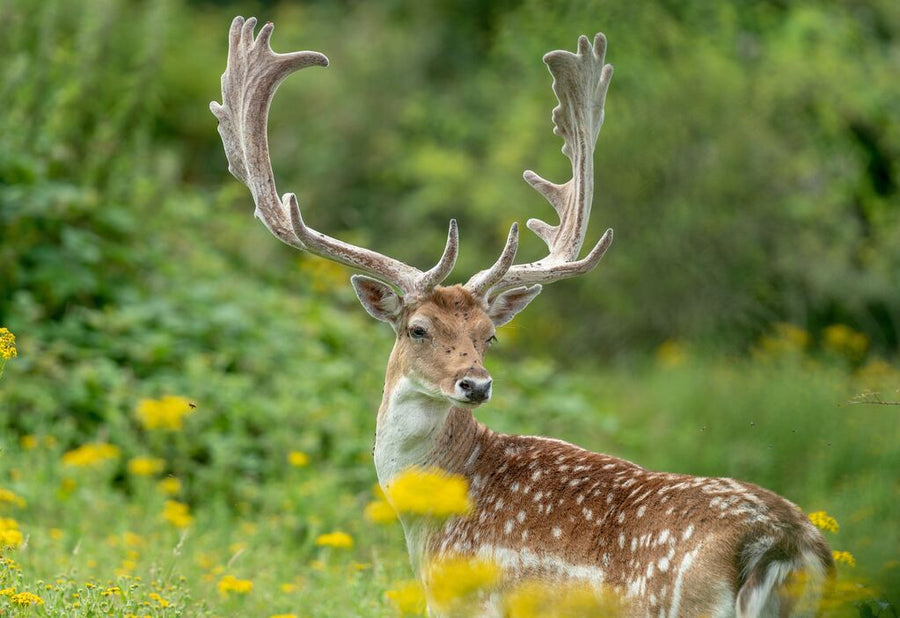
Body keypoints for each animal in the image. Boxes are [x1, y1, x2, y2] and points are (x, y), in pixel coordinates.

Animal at [213, 16, 836, 612]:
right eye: (418, 329)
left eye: (489, 336)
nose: (475, 384)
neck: (429, 522)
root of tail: (783, 547)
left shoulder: (462, 599)